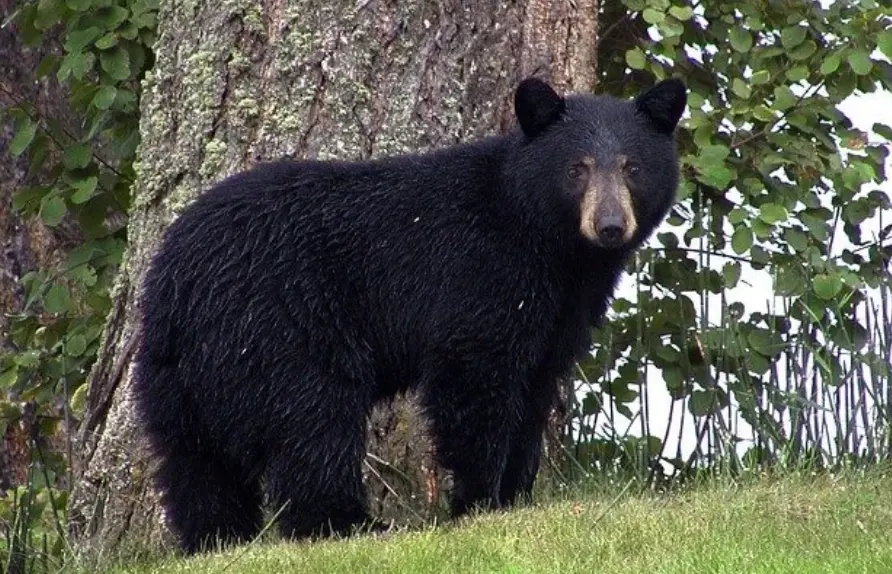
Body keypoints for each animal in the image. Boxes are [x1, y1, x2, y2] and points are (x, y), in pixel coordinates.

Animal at [132, 75, 687, 554]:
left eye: (633, 167)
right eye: (577, 168)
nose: (610, 225)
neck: (551, 245)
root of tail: (177, 280)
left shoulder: (560, 311)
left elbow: (535, 387)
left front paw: (516, 497)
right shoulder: (481, 274)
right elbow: (474, 379)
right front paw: (478, 503)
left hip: (176, 372)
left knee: (194, 461)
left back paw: (216, 538)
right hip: (280, 327)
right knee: (313, 422)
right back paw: (350, 524)